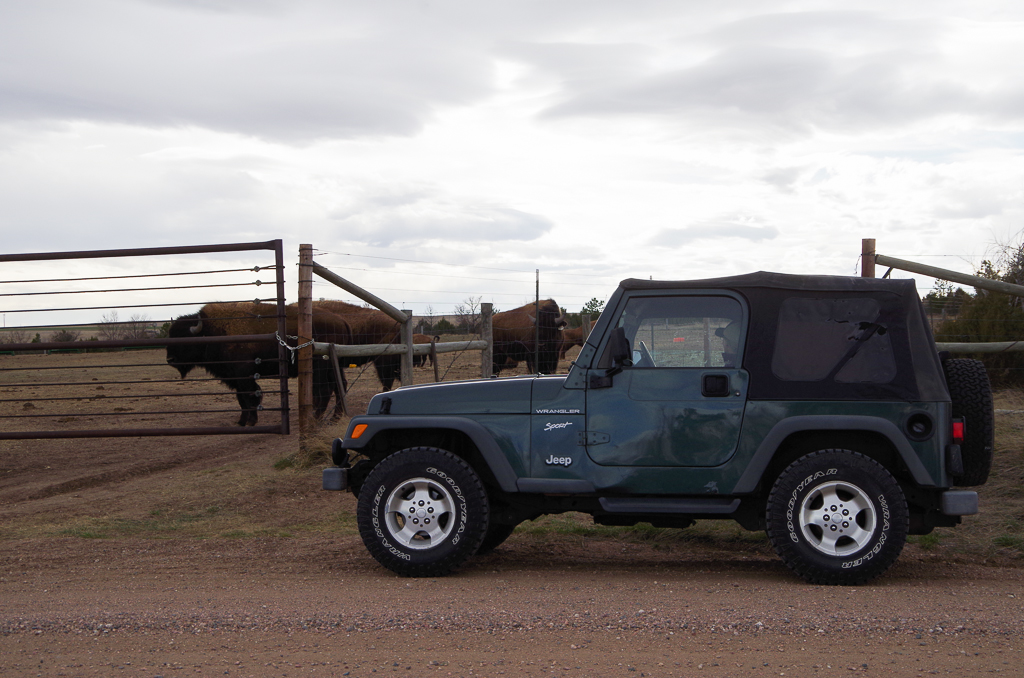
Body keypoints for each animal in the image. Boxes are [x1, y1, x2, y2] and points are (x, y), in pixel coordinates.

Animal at [167, 303, 352, 428]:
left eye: (184, 339)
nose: (170, 359)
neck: (212, 331)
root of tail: (342, 320)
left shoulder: (244, 376)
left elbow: (249, 396)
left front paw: (251, 421)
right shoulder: (235, 378)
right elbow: (241, 398)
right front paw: (242, 421)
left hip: (321, 365)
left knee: (325, 389)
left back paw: (317, 417)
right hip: (333, 364)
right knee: (339, 385)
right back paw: (335, 417)